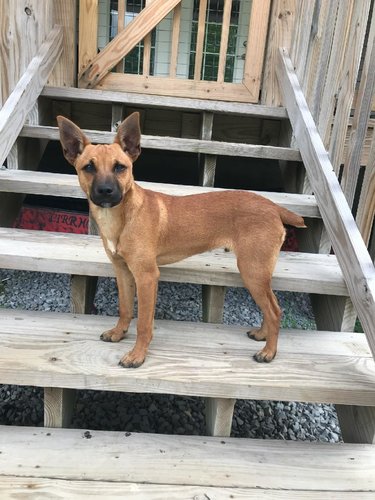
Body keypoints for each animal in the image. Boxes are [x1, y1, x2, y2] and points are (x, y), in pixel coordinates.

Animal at [57, 112, 306, 368]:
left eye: (120, 167)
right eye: (89, 167)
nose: (106, 191)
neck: (122, 217)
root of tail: (273, 206)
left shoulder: (147, 277)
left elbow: (144, 323)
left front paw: (137, 355)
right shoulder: (123, 272)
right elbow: (125, 308)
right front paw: (118, 333)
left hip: (252, 271)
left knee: (275, 311)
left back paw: (269, 352)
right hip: (258, 273)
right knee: (272, 307)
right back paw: (262, 335)